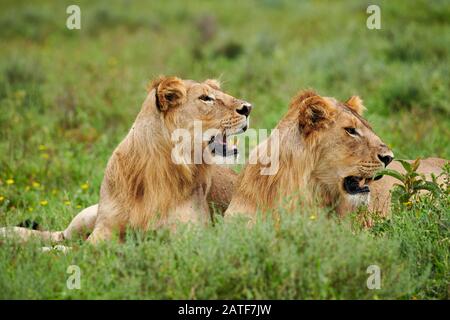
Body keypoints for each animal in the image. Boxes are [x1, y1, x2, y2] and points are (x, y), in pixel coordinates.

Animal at [0, 77, 250, 242]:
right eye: (206, 98)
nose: (248, 107)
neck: (160, 165)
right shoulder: (103, 231)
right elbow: (79, 251)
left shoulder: (188, 236)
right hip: (87, 216)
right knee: (58, 236)